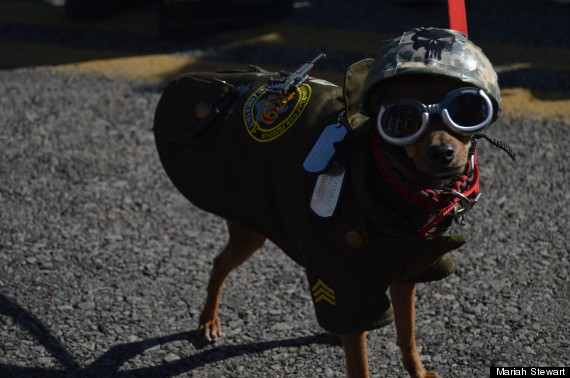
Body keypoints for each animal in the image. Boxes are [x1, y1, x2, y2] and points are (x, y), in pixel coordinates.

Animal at [152, 27, 506, 378]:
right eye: (404, 120)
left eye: (468, 112)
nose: (442, 152)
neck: (398, 192)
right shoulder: (346, 283)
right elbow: (360, 364)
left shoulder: (405, 273)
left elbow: (407, 337)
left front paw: (418, 372)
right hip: (252, 230)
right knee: (219, 264)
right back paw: (208, 322)